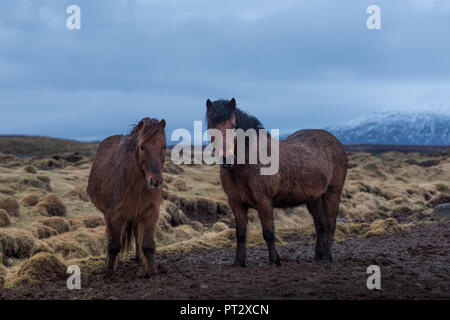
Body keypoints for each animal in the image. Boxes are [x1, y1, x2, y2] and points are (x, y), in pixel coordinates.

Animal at [87, 117, 166, 278]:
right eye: (142, 147)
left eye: (164, 147)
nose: (155, 181)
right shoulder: (115, 215)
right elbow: (114, 245)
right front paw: (109, 271)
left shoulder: (150, 212)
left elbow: (148, 245)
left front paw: (151, 271)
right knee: (110, 237)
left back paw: (139, 258)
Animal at [207, 99, 348, 266]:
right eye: (210, 126)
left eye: (233, 125)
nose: (226, 159)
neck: (248, 162)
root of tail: (337, 143)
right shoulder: (236, 203)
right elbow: (240, 234)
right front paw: (238, 262)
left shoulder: (264, 202)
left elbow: (268, 233)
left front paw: (275, 261)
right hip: (314, 199)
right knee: (321, 225)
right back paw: (318, 257)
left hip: (332, 193)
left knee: (330, 224)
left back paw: (328, 257)